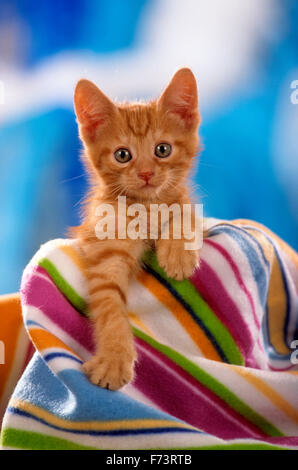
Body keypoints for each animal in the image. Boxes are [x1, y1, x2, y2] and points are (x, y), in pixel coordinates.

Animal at [73, 66, 201, 390]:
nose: (145, 173)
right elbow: (110, 305)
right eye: (122, 155)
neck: (145, 207)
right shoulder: (104, 250)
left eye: (162, 149)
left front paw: (178, 255)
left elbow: (185, 212)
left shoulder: (188, 203)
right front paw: (114, 359)